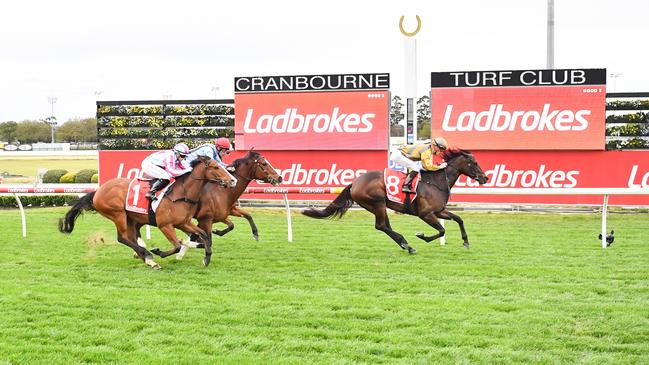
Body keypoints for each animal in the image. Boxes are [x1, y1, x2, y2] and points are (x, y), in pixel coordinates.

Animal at [57, 155, 235, 268]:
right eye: (215, 167)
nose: (232, 180)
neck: (181, 194)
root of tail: (97, 191)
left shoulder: (183, 223)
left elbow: (204, 236)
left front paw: (206, 257)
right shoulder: (165, 225)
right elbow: (177, 245)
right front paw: (159, 251)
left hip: (130, 218)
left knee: (130, 238)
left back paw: (146, 257)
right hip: (118, 214)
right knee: (122, 238)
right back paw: (148, 256)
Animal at [302, 148, 486, 253]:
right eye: (474, 162)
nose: (485, 177)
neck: (436, 182)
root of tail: (355, 182)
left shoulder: (439, 211)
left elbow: (459, 219)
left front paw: (466, 241)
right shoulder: (425, 213)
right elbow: (441, 230)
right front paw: (422, 236)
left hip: (380, 206)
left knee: (385, 226)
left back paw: (405, 244)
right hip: (376, 203)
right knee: (381, 226)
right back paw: (407, 244)